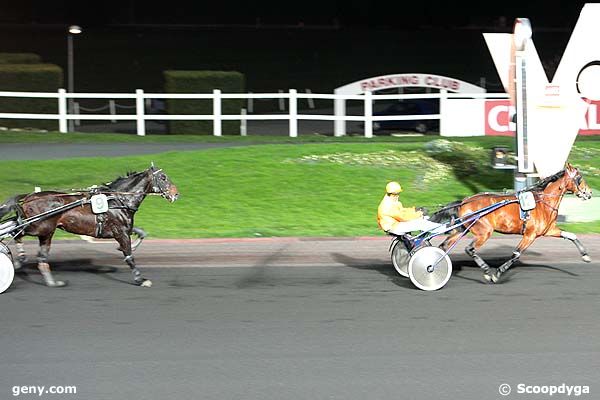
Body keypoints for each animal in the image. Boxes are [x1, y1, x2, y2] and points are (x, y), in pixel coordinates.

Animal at [0, 163, 178, 288]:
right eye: (163, 177)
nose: (176, 194)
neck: (118, 199)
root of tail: (29, 197)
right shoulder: (120, 232)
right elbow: (129, 256)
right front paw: (140, 279)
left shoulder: (122, 229)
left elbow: (141, 233)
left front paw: (132, 246)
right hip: (40, 227)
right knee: (18, 233)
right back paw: (20, 258)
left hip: (45, 232)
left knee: (41, 257)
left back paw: (52, 282)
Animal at [434, 163, 592, 284]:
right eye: (579, 178)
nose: (589, 193)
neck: (543, 202)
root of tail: (464, 201)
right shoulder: (530, 235)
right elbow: (516, 254)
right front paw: (497, 273)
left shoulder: (549, 230)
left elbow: (571, 236)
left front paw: (585, 255)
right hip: (485, 231)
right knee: (469, 249)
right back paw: (486, 270)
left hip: (462, 229)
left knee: (443, 246)